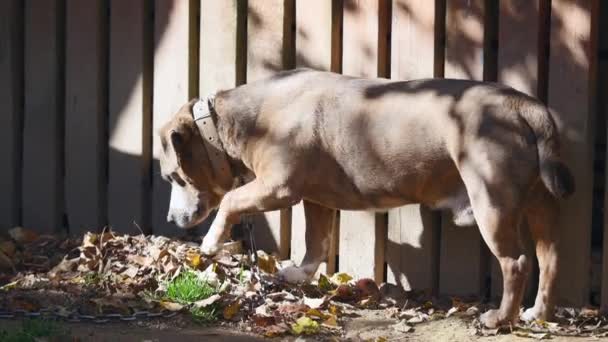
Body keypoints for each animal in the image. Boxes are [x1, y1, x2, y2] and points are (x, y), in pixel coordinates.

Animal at [158, 68, 576, 328]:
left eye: (173, 177)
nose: (171, 221)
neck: (229, 123)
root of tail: (524, 106)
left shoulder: (278, 187)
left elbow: (231, 201)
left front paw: (212, 243)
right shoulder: (316, 199)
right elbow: (315, 241)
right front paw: (298, 273)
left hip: (492, 201)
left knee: (516, 263)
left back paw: (500, 319)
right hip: (541, 205)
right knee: (550, 258)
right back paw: (537, 313)